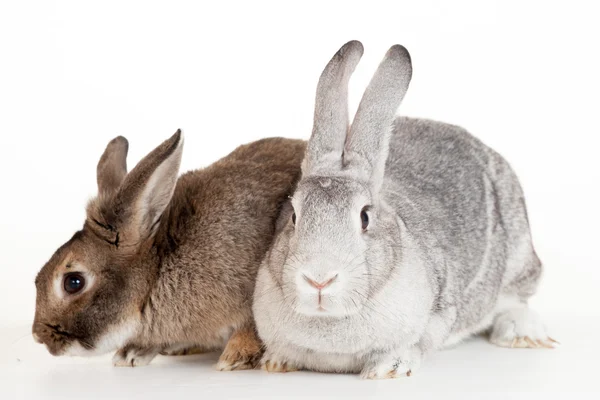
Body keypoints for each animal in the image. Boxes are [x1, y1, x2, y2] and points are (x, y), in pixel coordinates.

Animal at [32, 130, 304, 370]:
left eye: (73, 282)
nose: (38, 336)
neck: (156, 273)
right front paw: (130, 354)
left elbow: (255, 328)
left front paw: (234, 358)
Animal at [251, 39, 556, 378]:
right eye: (294, 215)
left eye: (365, 217)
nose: (319, 279)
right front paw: (275, 362)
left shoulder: (437, 316)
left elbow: (414, 346)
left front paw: (386, 370)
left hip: (518, 252)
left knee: (517, 299)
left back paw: (521, 333)